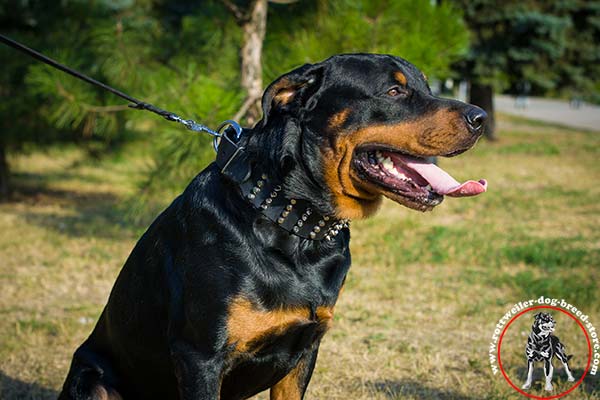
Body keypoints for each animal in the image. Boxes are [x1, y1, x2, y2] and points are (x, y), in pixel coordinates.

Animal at [57, 54, 488, 400]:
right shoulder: (199, 357)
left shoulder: (303, 353)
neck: (293, 222)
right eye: (394, 91)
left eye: (427, 87)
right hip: (90, 380)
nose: (480, 117)